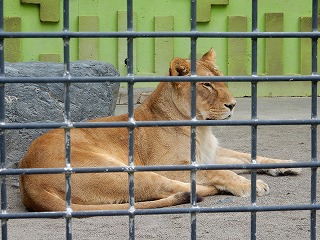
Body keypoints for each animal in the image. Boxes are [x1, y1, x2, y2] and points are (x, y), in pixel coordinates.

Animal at [18, 49, 302, 212]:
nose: (233, 104)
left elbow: (247, 157)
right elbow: (219, 171)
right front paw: (249, 185)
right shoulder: (173, 163)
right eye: (207, 85)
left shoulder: (210, 153)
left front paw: (286, 164)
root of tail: (30, 183)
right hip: (130, 171)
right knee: (176, 189)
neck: (202, 128)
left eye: (221, 80)